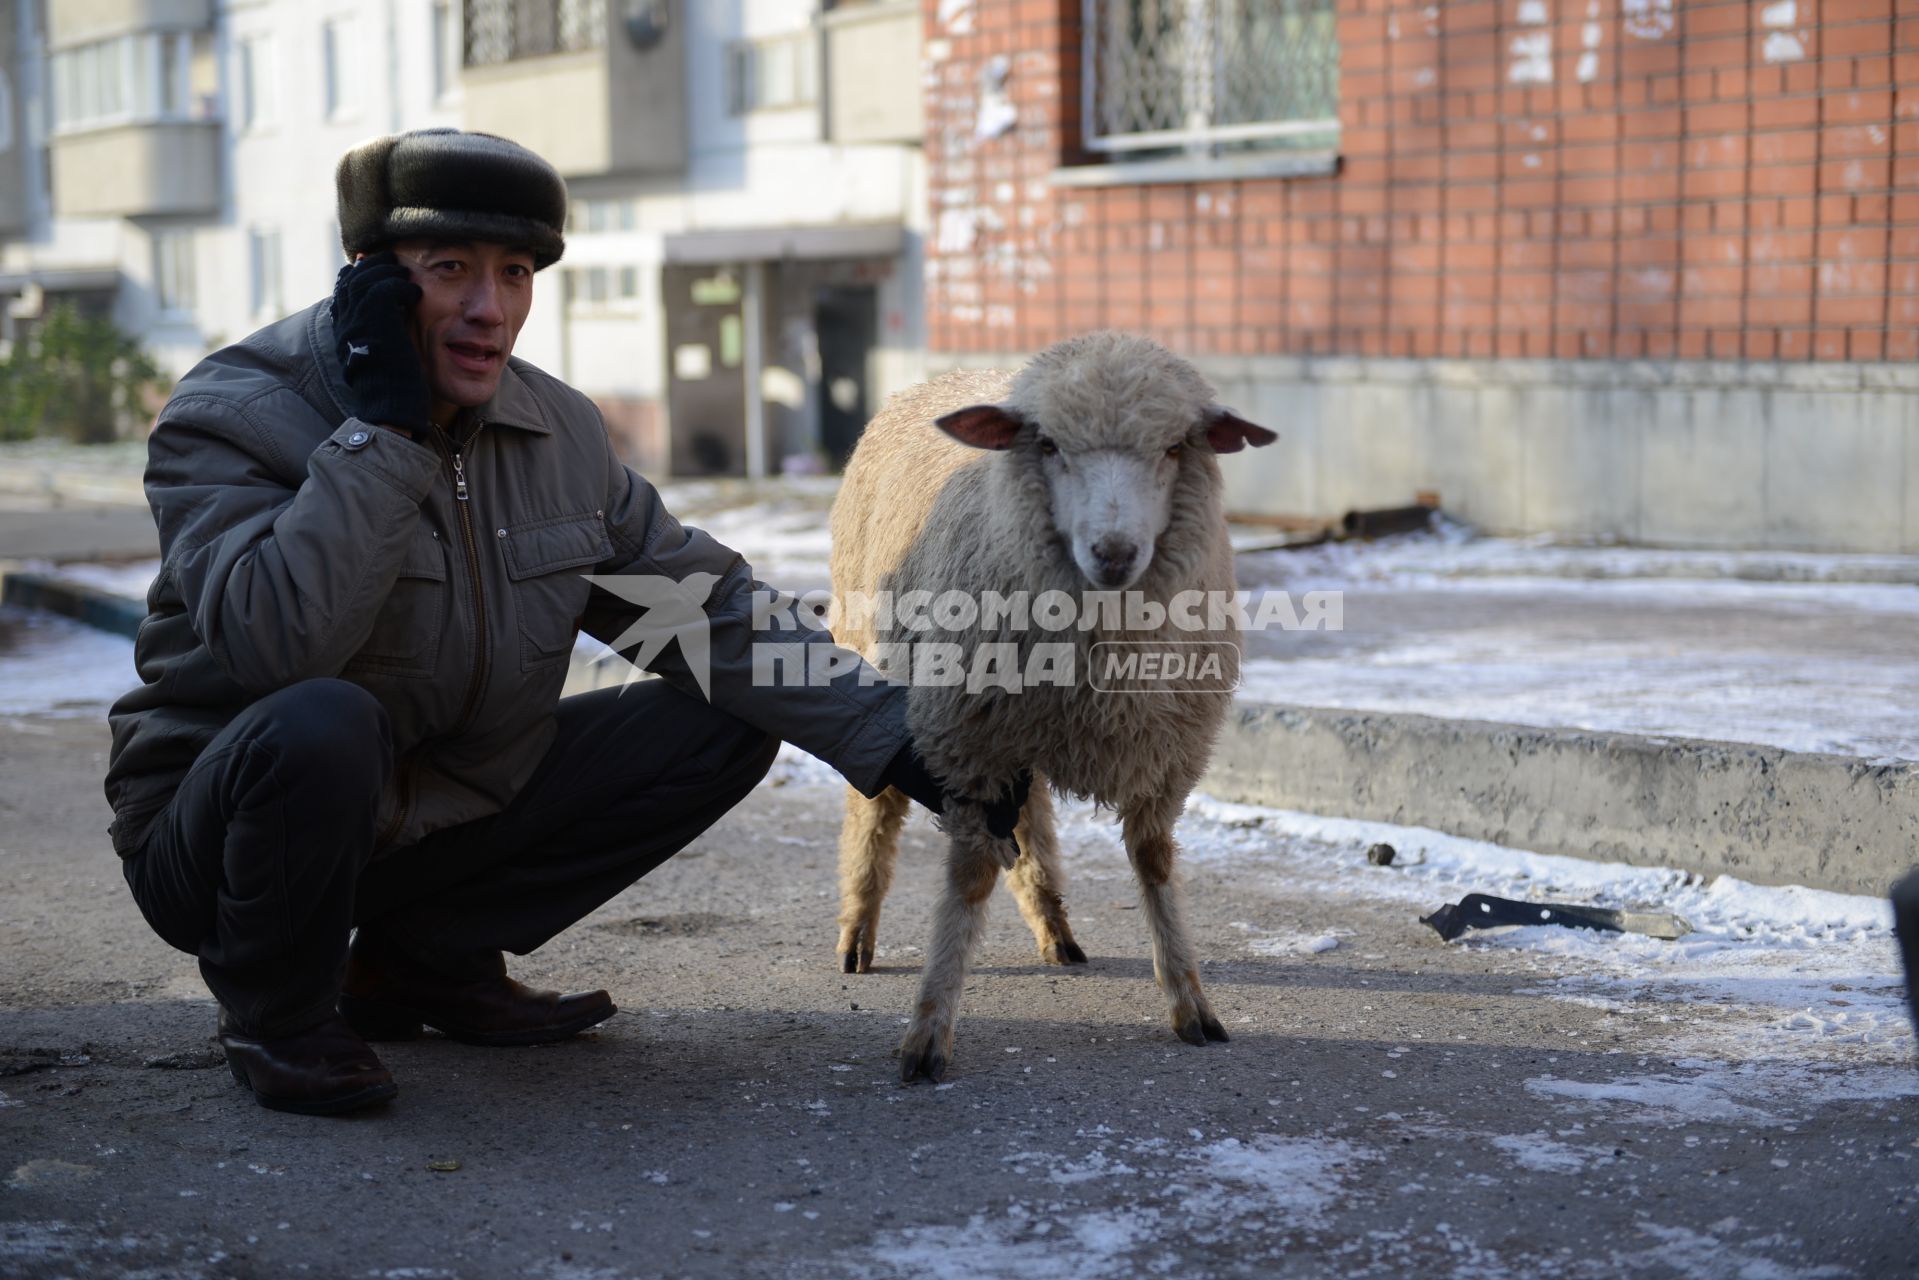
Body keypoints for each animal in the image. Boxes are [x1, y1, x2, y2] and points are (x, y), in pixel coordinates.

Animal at [825, 328, 1274, 1082]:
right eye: (1051, 446)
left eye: (1173, 447)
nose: (1114, 552)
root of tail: (942, 378)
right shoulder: (968, 739)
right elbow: (969, 875)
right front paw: (928, 1029)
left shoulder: (1166, 752)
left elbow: (1154, 862)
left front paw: (1190, 1000)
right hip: (873, 653)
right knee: (874, 806)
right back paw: (858, 929)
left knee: (1031, 813)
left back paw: (1054, 924)